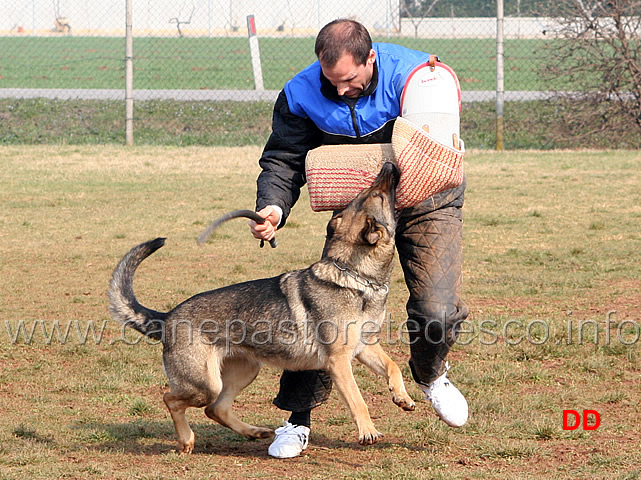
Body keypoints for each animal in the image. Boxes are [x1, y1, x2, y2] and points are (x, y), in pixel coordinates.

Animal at [109, 161, 416, 454]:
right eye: (376, 195)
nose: (389, 165)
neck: (353, 274)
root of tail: (168, 316)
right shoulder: (338, 362)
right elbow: (357, 399)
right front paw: (368, 431)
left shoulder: (365, 347)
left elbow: (393, 366)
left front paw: (402, 397)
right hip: (205, 384)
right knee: (171, 399)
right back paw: (186, 440)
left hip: (245, 372)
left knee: (215, 409)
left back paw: (254, 432)